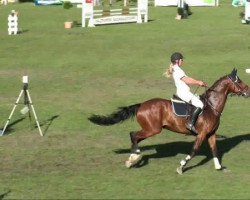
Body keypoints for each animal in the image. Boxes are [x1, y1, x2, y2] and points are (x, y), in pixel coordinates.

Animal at [89, 69, 249, 173]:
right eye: (239, 81)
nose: (248, 91)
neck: (211, 106)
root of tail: (141, 105)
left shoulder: (211, 134)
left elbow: (215, 150)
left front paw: (219, 167)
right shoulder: (202, 134)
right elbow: (194, 150)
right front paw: (181, 166)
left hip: (150, 129)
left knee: (135, 137)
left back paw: (133, 157)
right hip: (153, 129)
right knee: (133, 135)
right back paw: (134, 157)